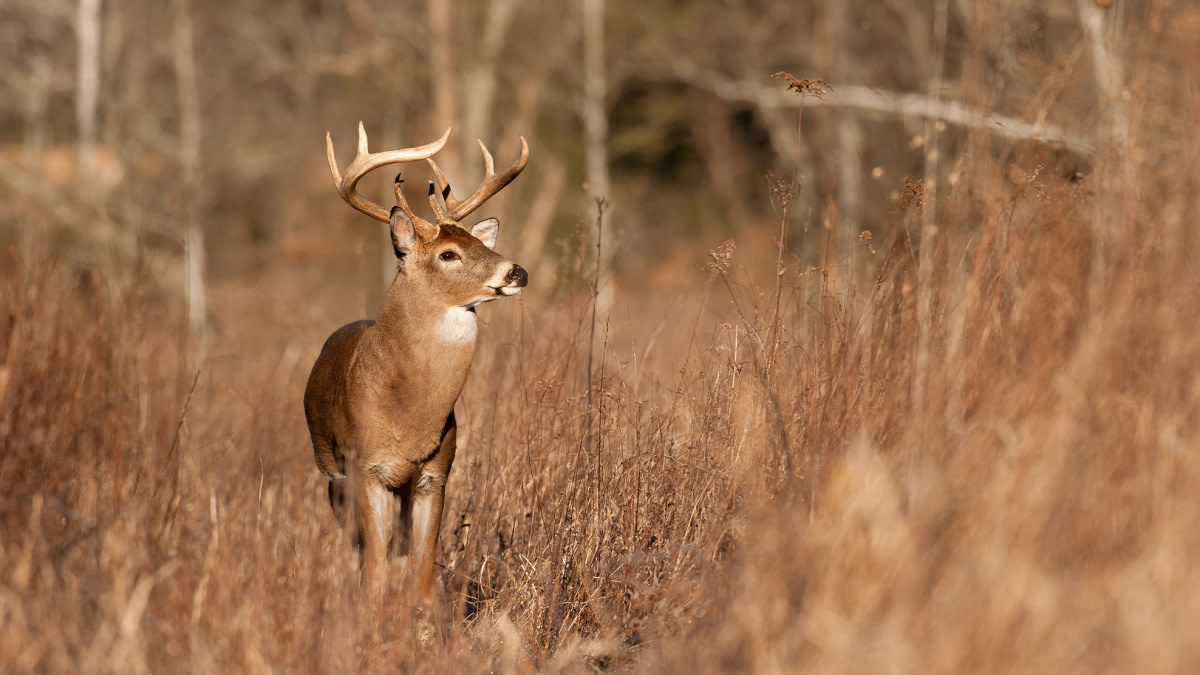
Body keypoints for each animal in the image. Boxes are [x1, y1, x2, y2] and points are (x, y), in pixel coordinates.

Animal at [302, 123, 528, 600]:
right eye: (448, 254)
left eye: (480, 243)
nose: (517, 272)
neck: (410, 417)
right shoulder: (365, 468)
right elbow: (375, 570)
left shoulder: (434, 475)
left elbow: (421, 572)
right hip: (330, 472)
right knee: (357, 548)